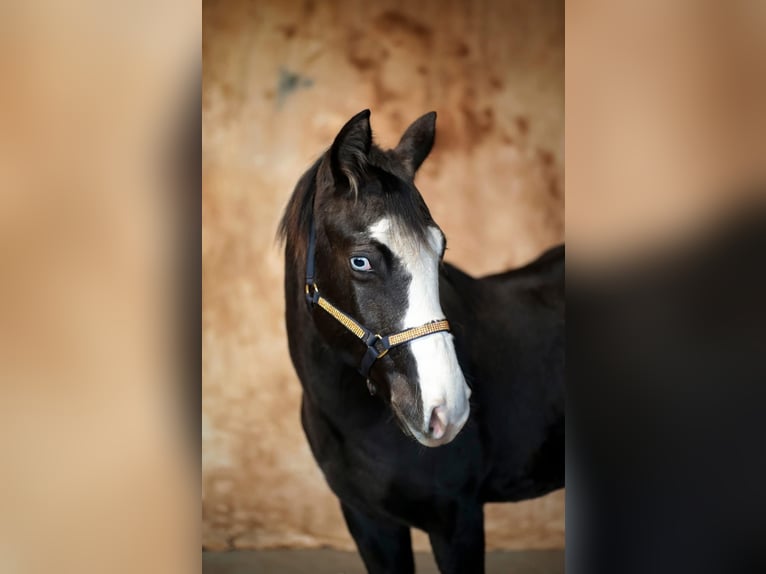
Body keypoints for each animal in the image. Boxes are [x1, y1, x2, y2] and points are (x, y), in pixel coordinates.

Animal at [278, 109, 565, 573]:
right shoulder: (368, 522)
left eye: (440, 250)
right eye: (361, 261)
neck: (355, 420)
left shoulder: (457, 521)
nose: (448, 410)